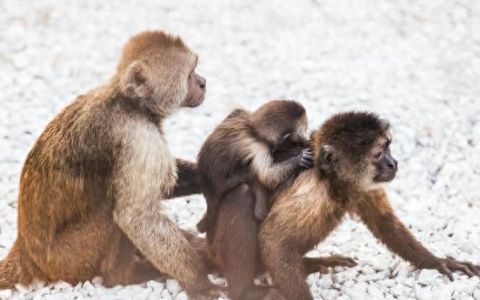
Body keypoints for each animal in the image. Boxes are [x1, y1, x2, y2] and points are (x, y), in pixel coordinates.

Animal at [0, 29, 223, 298]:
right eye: (190, 74)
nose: (203, 82)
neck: (130, 102)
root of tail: (25, 251)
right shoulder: (138, 137)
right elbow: (137, 217)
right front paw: (198, 281)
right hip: (69, 259)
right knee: (113, 209)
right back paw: (122, 276)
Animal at [197, 99, 314, 298]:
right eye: (303, 130)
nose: (306, 138)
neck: (253, 130)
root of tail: (208, 191)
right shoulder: (259, 148)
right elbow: (266, 175)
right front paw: (299, 159)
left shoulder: (241, 114)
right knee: (247, 179)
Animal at [260, 111, 478, 298]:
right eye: (379, 153)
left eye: (389, 148)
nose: (393, 162)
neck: (331, 180)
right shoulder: (310, 193)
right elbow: (275, 242)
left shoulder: (363, 187)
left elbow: (385, 223)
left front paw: (438, 262)